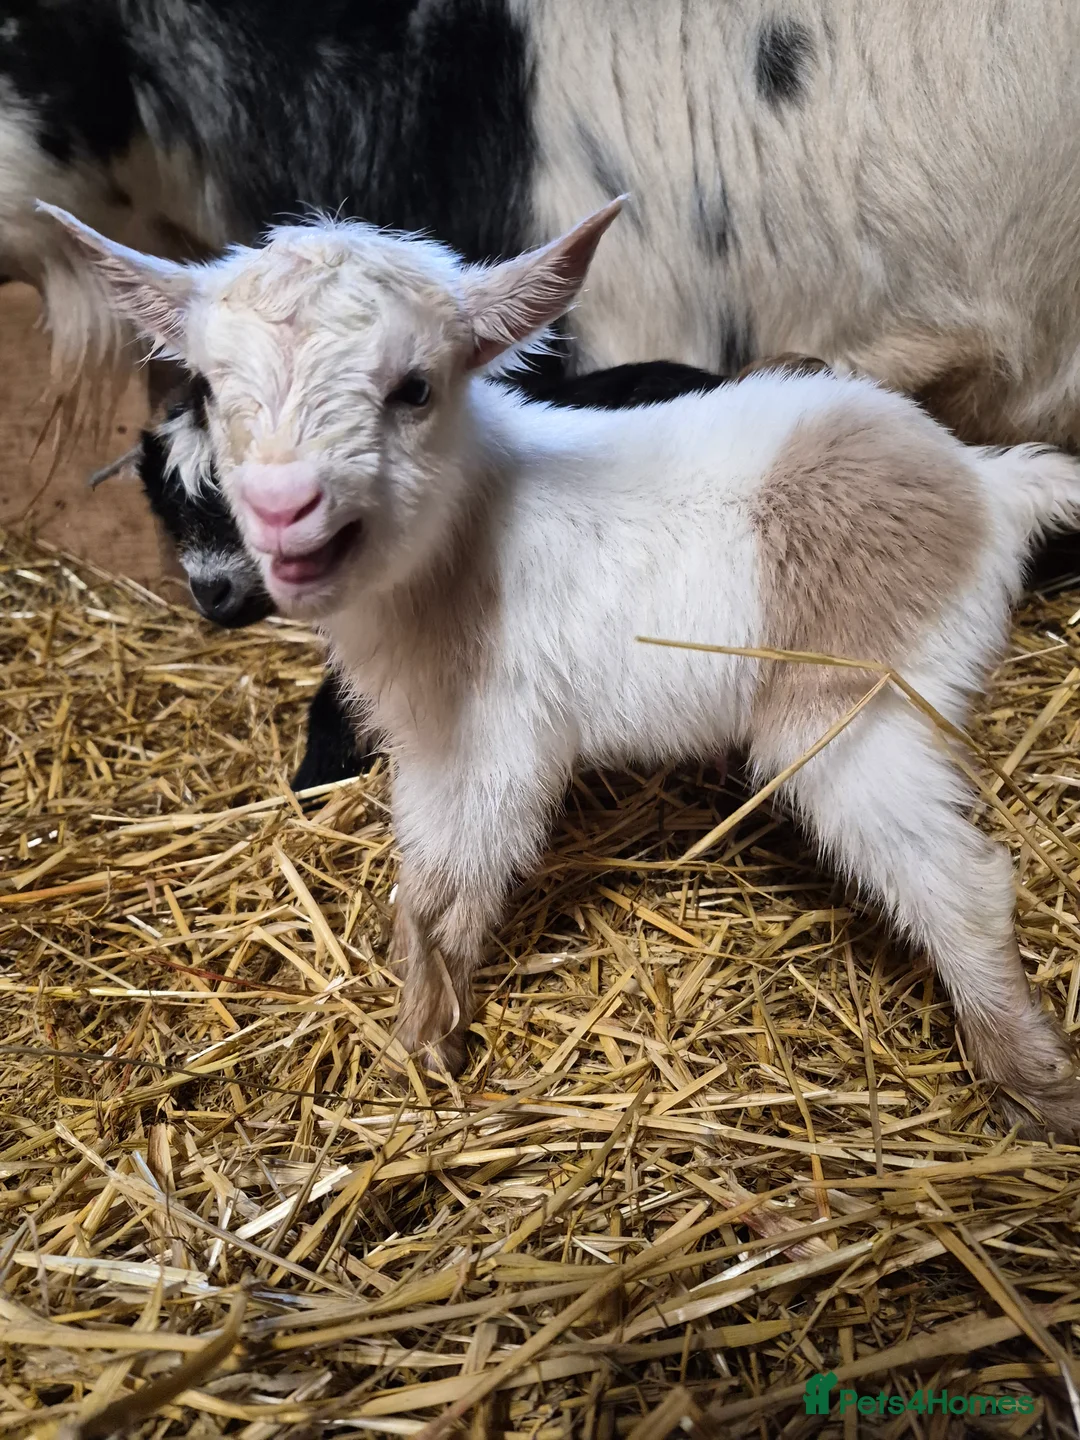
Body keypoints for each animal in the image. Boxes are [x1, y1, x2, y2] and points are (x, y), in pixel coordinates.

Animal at [43, 198, 1080, 1139]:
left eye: (415, 388)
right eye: (215, 390)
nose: (281, 505)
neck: (470, 531)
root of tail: (985, 484)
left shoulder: (500, 742)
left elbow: (456, 889)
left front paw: (432, 1053)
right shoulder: (430, 747)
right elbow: (419, 893)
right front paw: (419, 1033)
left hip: (862, 703)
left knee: (961, 880)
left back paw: (1031, 1085)